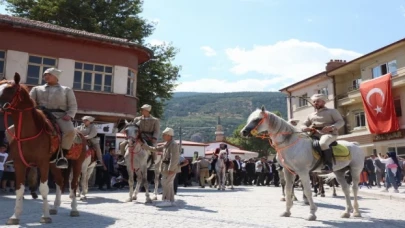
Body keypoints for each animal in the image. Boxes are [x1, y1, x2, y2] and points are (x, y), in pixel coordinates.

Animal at [0, 73, 87, 224]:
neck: (27, 133)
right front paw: (15, 216)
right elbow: (19, 189)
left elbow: (44, 189)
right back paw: (55, 207)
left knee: (74, 184)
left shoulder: (42, 163)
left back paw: (74, 209)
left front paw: (45, 216)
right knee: (60, 182)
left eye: (10, 89)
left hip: (77, 163)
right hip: (54, 165)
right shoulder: (19, 164)